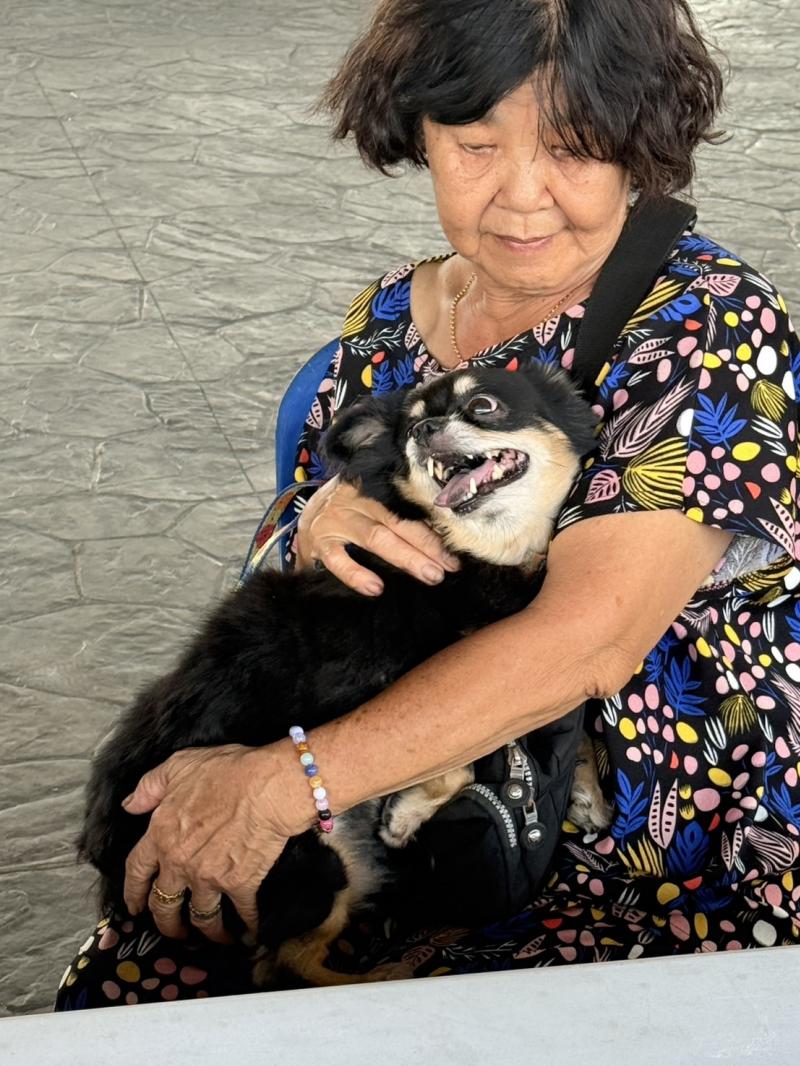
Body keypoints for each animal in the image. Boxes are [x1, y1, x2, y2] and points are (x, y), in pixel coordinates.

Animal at [79, 360, 612, 988]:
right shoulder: (419, 682)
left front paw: (587, 788)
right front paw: (407, 813)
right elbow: (460, 757)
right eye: (407, 432)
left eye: (483, 404)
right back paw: (384, 974)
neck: (475, 553)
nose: (424, 431)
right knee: (282, 965)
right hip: (312, 860)